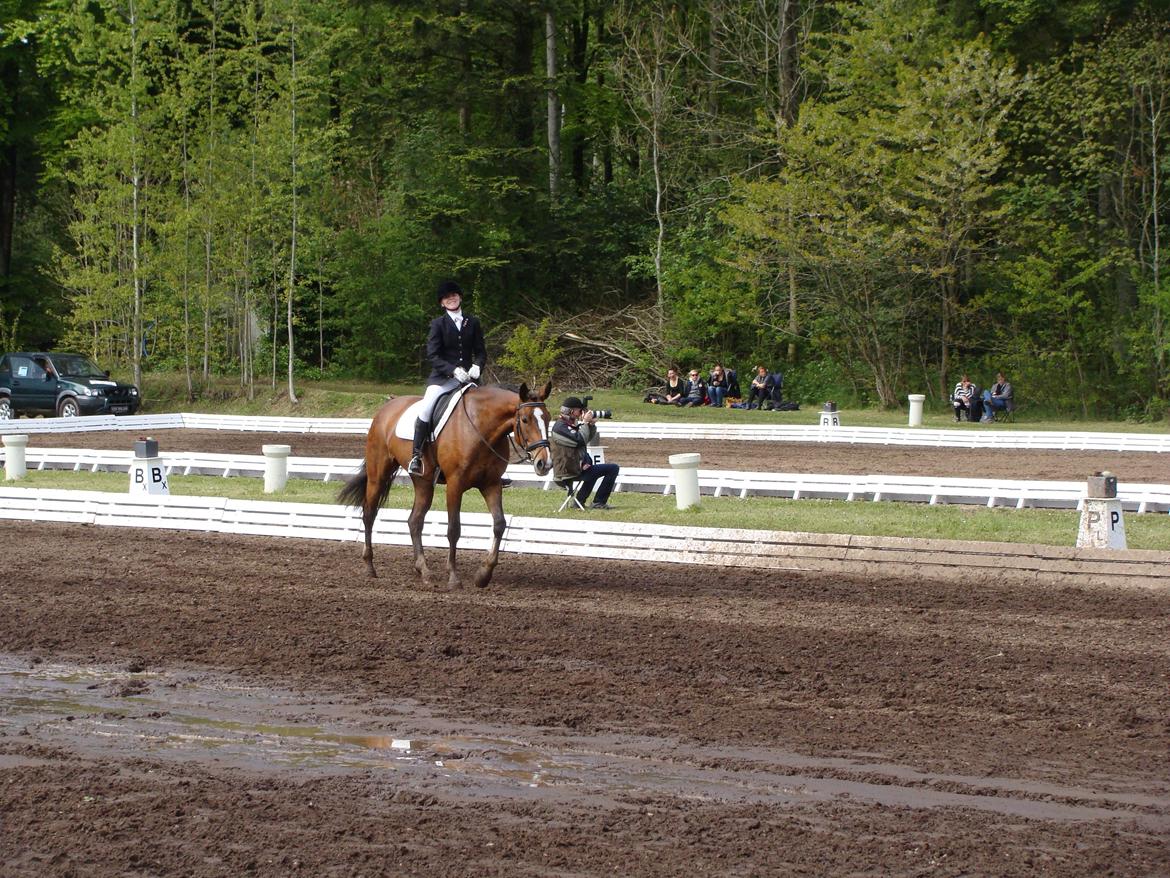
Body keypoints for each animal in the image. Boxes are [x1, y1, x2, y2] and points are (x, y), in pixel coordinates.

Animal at [339, 379, 552, 592]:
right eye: (525, 419)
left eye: (548, 418)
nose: (544, 464)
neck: (481, 427)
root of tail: (387, 407)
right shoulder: (455, 485)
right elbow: (454, 529)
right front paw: (454, 578)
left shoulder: (491, 484)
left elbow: (499, 524)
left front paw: (483, 575)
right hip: (378, 475)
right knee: (369, 514)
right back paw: (369, 566)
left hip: (423, 482)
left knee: (415, 520)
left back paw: (423, 570)